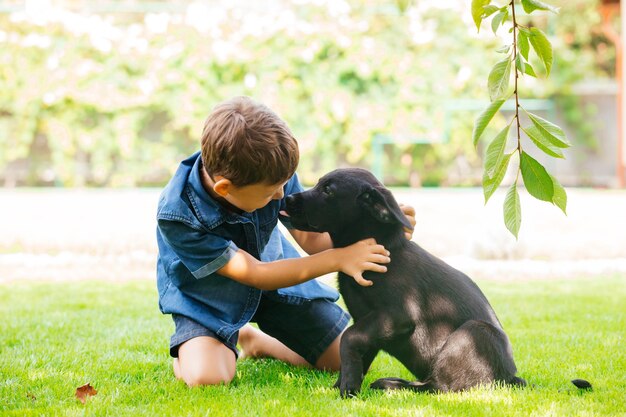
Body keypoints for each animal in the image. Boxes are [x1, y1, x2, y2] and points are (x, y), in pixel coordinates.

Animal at [286, 168, 524, 396]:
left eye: (328, 190)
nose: (287, 198)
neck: (384, 249)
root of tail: (511, 378)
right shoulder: (366, 321)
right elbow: (361, 350)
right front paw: (341, 385)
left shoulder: (397, 315)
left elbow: (349, 337)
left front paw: (348, 388)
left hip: (475, 331)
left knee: (438, 387)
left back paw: (392, 385)